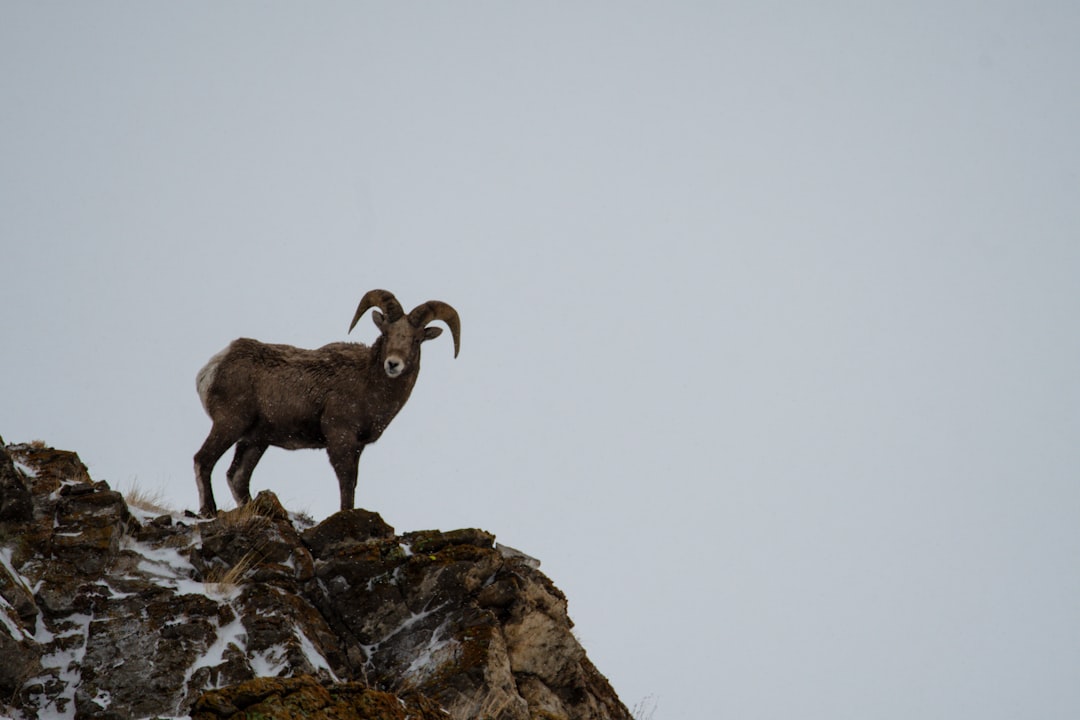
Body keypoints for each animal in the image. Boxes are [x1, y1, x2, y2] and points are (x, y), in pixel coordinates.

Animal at [193, 289, 460, 517]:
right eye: (386, 334)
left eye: (416, 340)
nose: (393, 364)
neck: (367, 383)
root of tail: (213, 367)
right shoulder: (340, 439)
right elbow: (346, 484)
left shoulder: (357, 447)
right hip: (230, 424)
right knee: (203, 460)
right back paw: (208, 511)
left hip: (255, 440)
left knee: (237, 476)